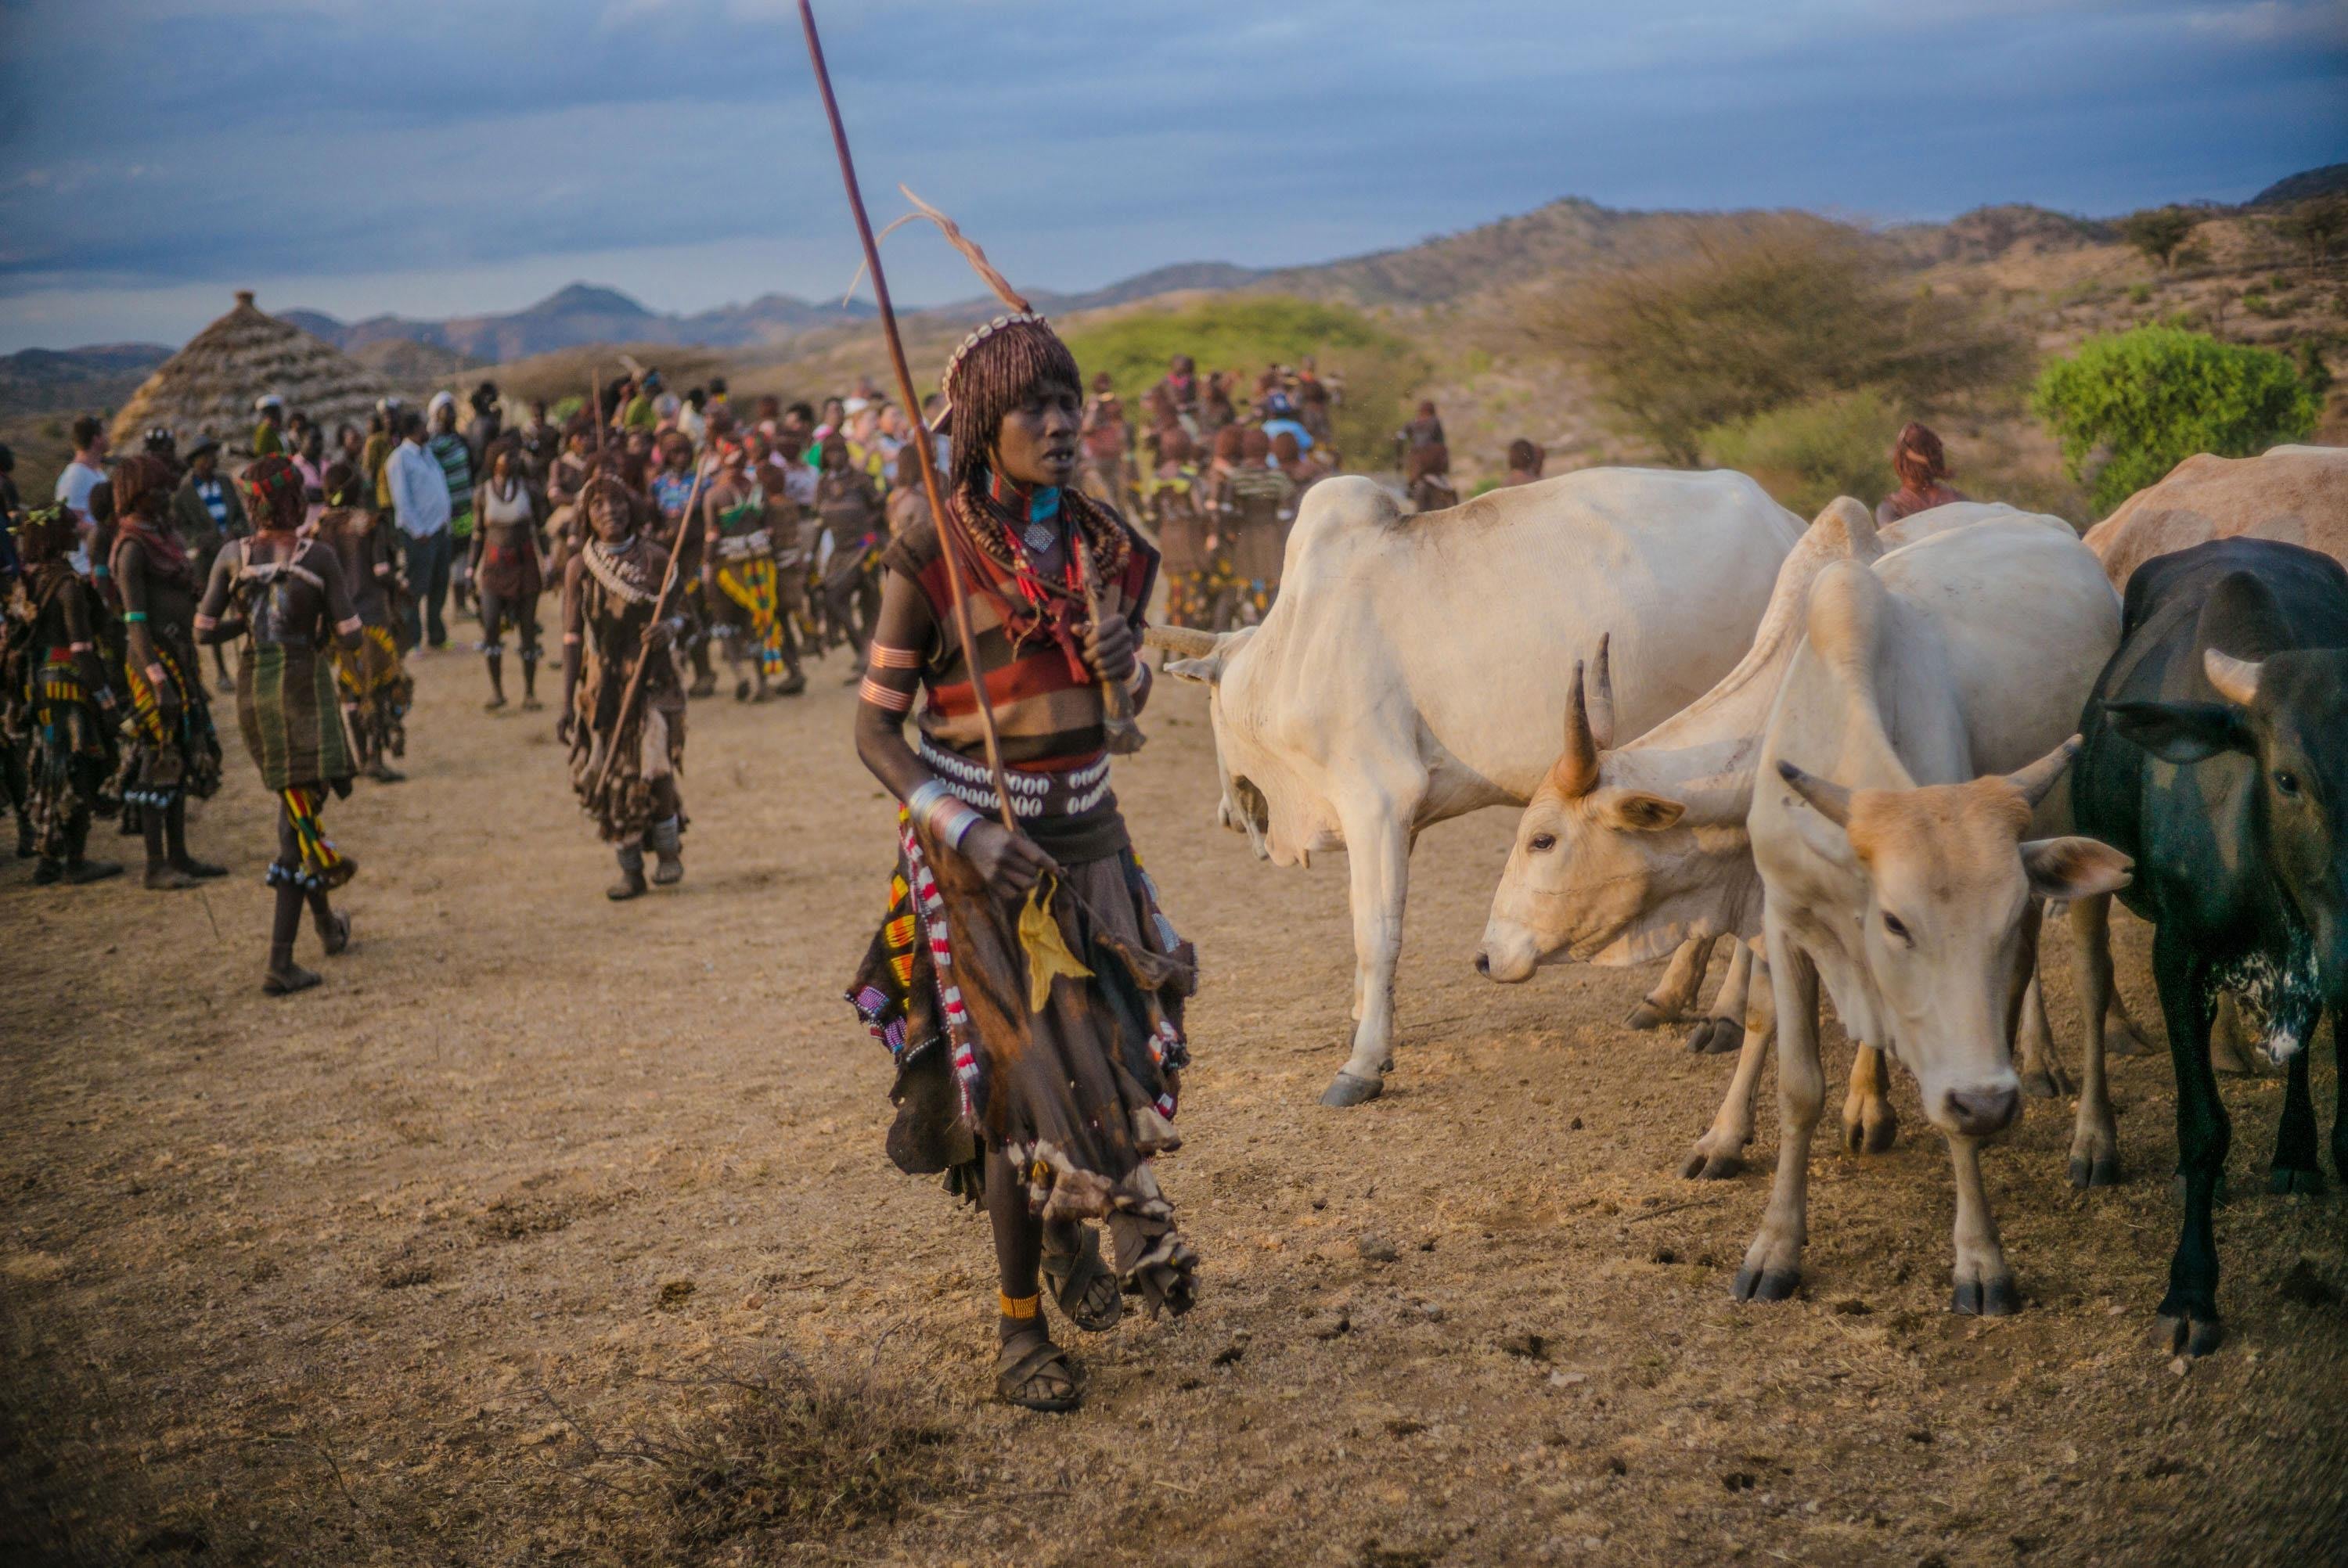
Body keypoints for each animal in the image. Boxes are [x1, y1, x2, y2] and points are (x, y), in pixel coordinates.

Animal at [1151, 465, 1794, 1103]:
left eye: (1210, 712)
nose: (1225, 815)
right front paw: (1364, 1022)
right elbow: (1367, 921)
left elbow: (1376, 935)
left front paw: (1363, 1064)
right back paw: (1667, 999)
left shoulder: (1377, 798)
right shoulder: (1390, 821)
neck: (1296, 646)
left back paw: (1724, 1016)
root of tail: (1785, 520)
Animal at [1728, 521, 2132, 1314]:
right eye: (1895, 924)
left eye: (1996, 920)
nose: (1991, 1100)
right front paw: (1774, 1248)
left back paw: (2092, 1139)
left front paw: (1981, 1261)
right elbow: (1799, 1089)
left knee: (2092, 983)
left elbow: (1957, 1124)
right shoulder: (1787, 923)